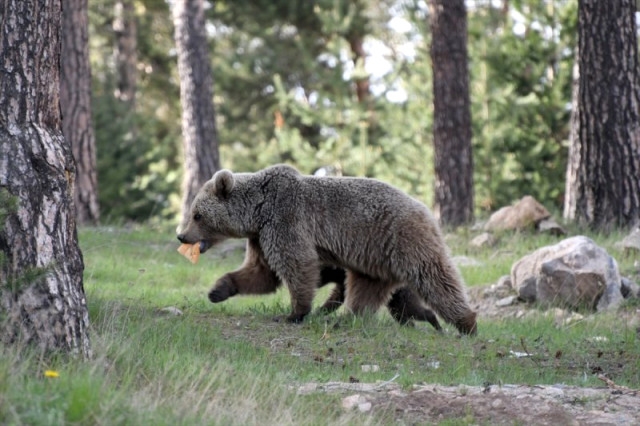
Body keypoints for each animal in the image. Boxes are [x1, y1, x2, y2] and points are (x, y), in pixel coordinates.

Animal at [178, 165, 478, 334]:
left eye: (196, 214)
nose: (181, 235)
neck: (257, 211)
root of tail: (426, 209)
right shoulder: (260, 237)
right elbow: (261, 273)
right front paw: (218, 290)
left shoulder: (285, 220)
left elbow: (297, 264)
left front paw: (295, 313)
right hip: (375, 260)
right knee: (366, 291)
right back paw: (347, 319)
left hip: (404, 239)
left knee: (435, 277)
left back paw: (467, 323)